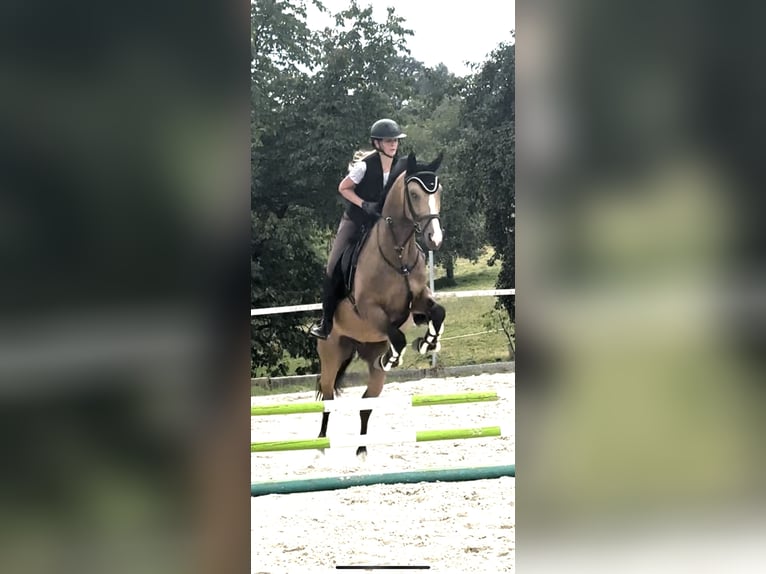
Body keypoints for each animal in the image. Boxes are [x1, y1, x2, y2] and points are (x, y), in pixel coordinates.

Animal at [318, 153, 450, 460]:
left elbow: (437, 313)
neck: (398, 251)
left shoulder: (418, 300)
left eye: (438, 191)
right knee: (327, 395)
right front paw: (397, 356)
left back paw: (361, 450)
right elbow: (398, 335)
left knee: (366, 402)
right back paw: (319, 445)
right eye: (413, 194)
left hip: (370, 355)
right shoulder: (369, 310)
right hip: (331, 352)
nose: (435, 239)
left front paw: (428, 342)